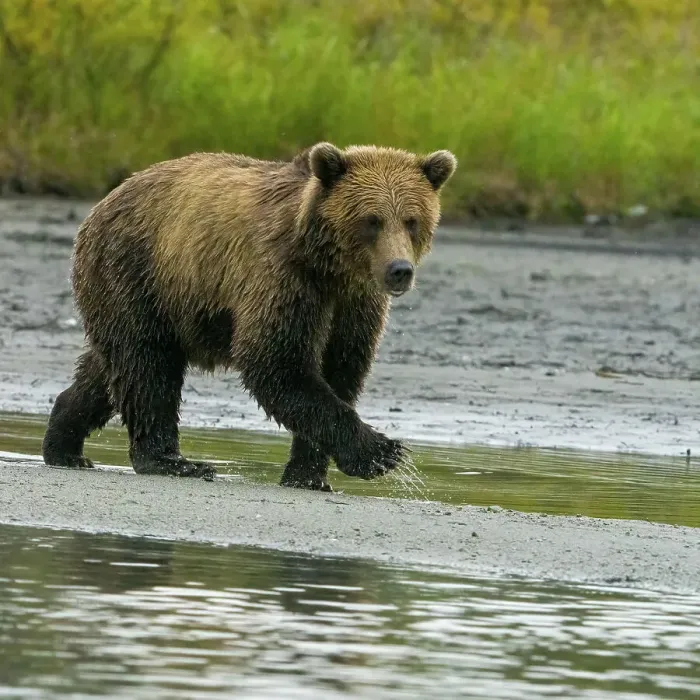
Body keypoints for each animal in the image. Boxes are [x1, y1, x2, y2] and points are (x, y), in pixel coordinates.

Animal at [42, 142, 457, 490]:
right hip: (139, 270)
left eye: (412, 220)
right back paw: (172, 461)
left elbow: (341, 369)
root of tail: (104, 201)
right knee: (147, 366)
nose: (399, 270)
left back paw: (65, 445)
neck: (330, 268)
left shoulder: (354, 306)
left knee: (112, 368)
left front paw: (309, 475)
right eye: (372, 220)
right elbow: (277, 362)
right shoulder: (281, 278)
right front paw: (381, 452)